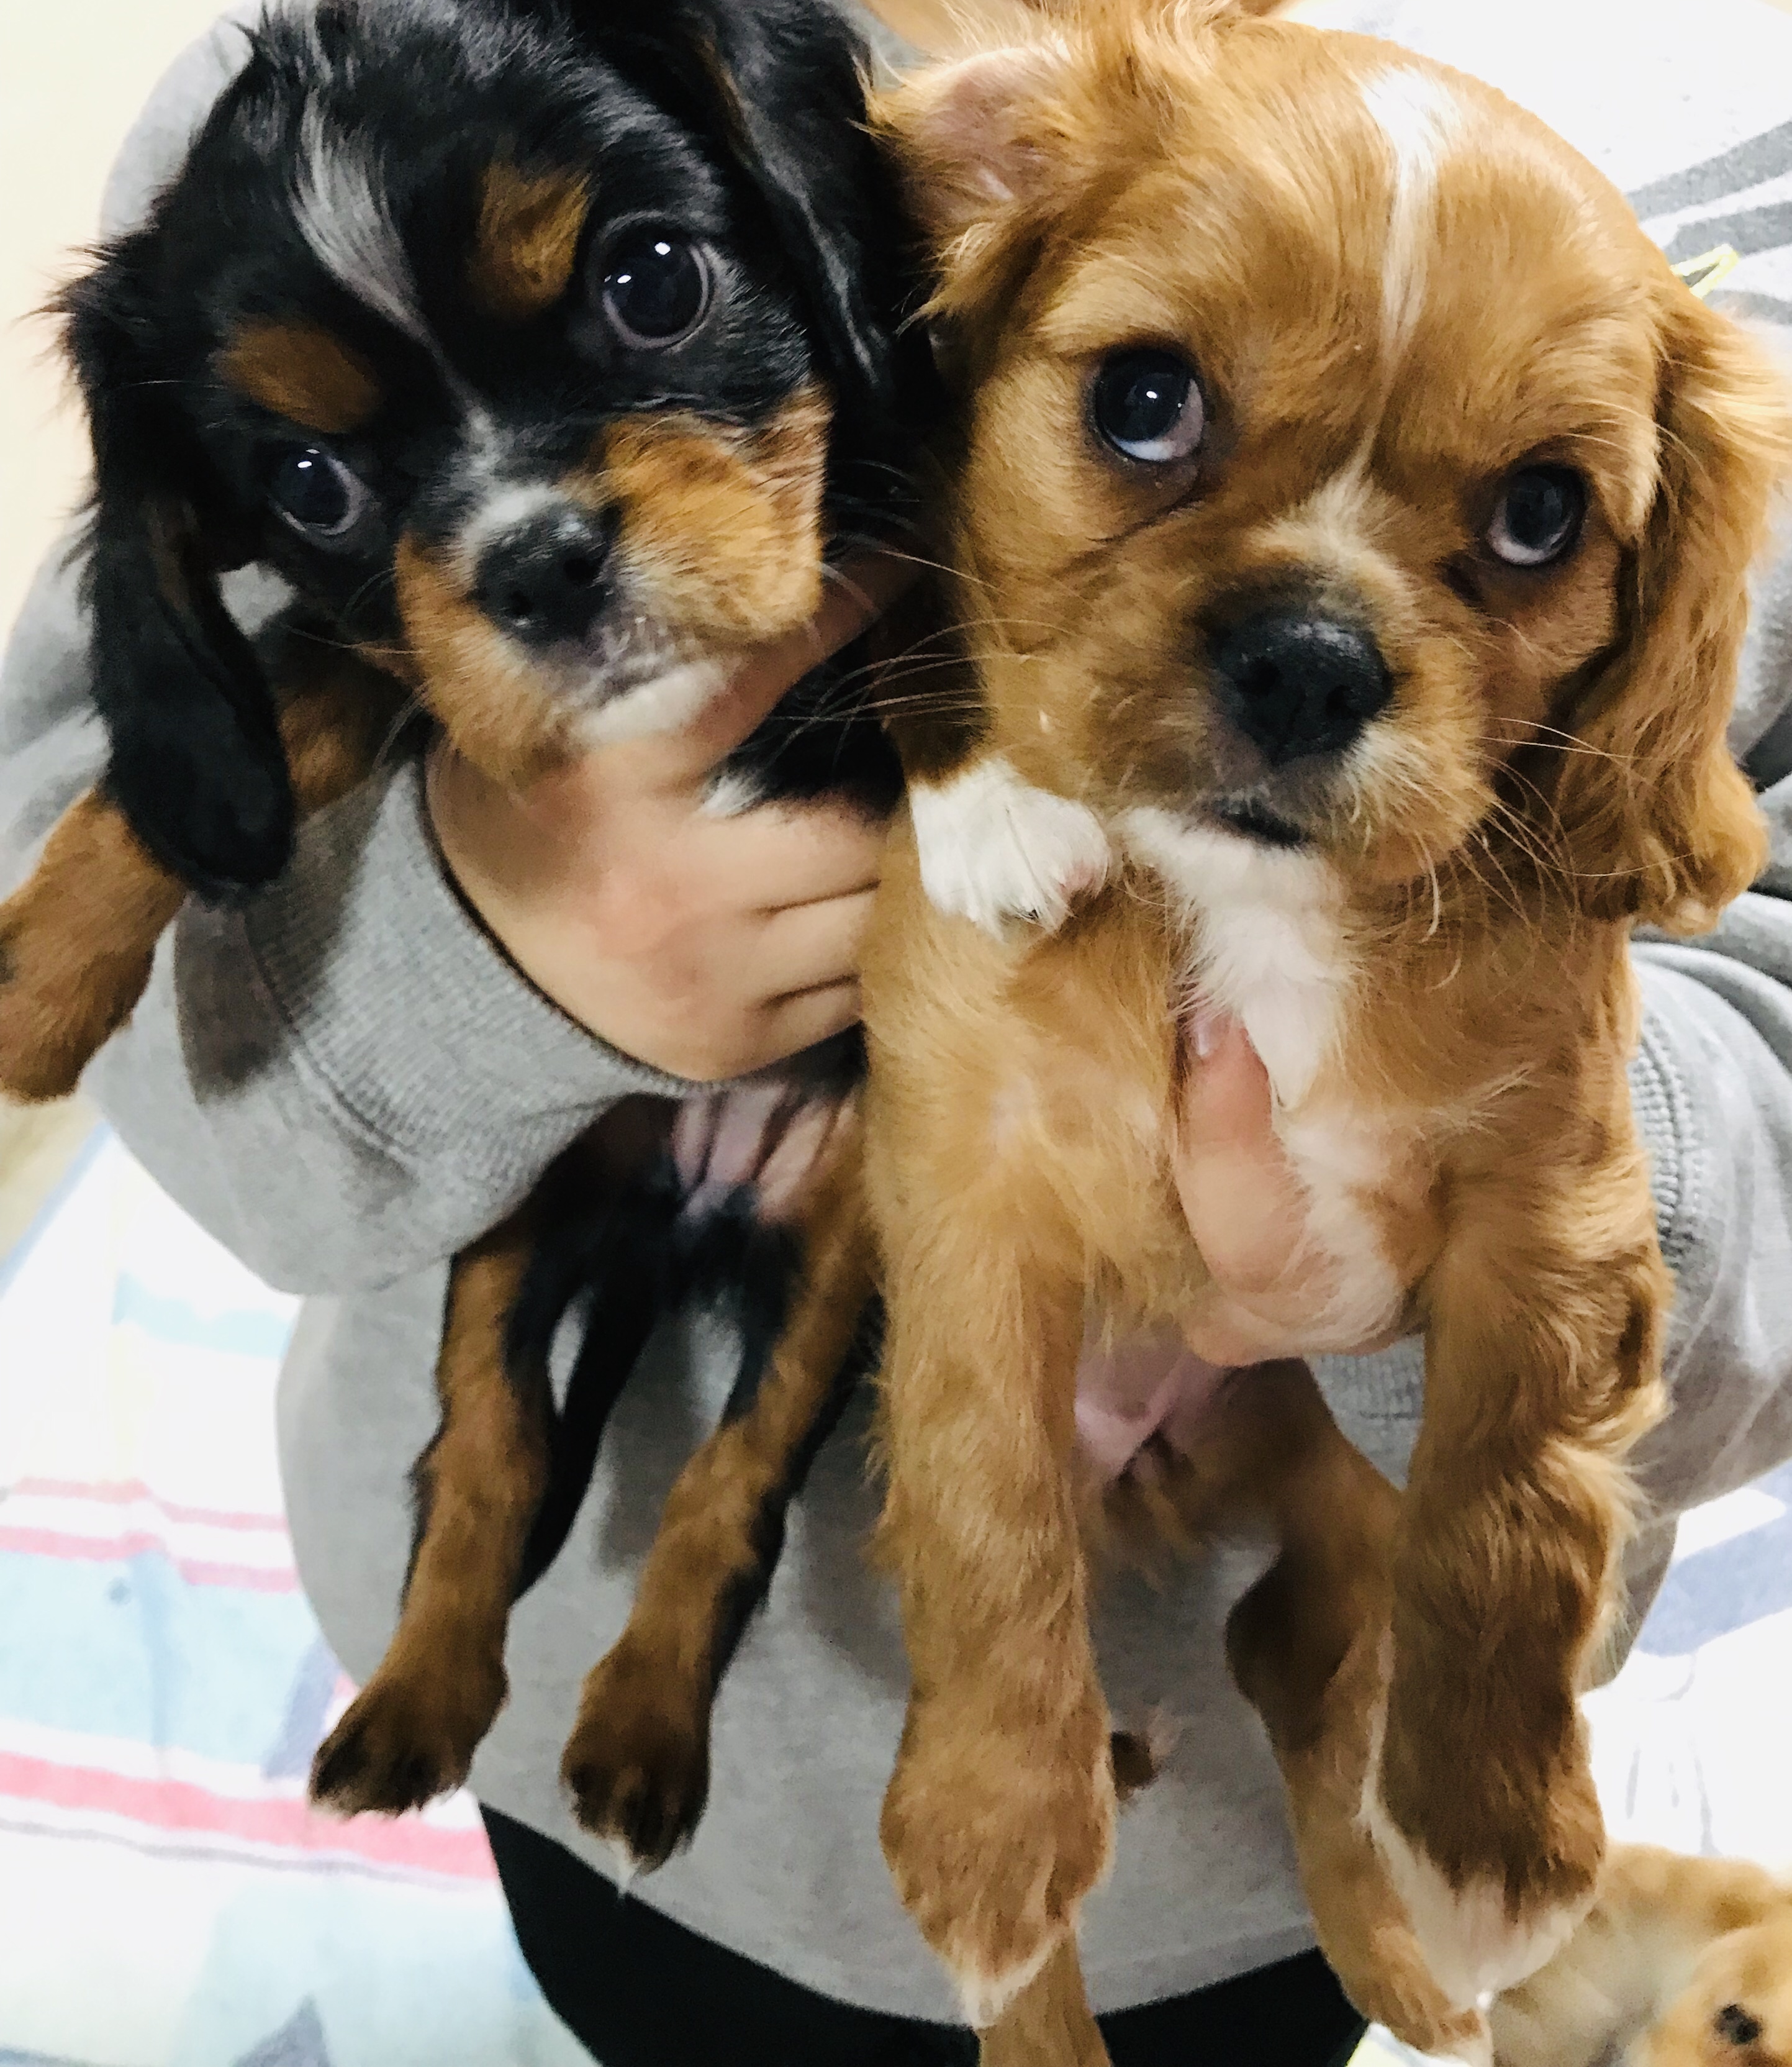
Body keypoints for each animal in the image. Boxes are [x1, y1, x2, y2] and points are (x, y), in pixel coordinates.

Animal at [0, 0, 934, 1856]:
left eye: (653, 282)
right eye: (310, 484)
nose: (540, 561)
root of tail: (687, 1200)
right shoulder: (416, 658)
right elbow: (271, 706)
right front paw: (38, 976)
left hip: (839, 1233)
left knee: (736, 1474)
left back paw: (640, 1730)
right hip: (520, 1215)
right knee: (489, 1450)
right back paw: (416, 1704)